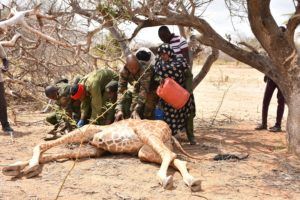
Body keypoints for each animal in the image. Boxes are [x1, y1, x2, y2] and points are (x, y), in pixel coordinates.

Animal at [1, 119, 202, 191]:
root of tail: (170, 132)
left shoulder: (86, 130)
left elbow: (42, 146)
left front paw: (28, 167)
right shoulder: (95, 149)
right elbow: (48, 155)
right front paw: (14, 167)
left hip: (146, 133)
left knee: (169, 155)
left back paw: (163, 179)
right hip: (143, 151)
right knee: (177, 158)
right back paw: (192, 181)